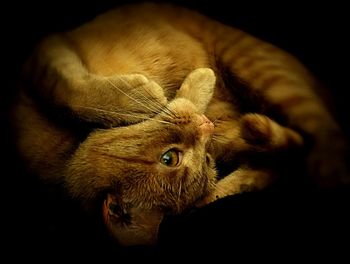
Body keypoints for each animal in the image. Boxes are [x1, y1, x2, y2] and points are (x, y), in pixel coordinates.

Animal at [10, 1, 348, 245]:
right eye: (171, 158)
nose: (206, 126)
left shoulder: (47, 52)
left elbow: (69, 93)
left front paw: (147, 97)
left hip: (261, 71)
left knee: (323, 132)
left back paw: (327, 169)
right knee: (278, 161)